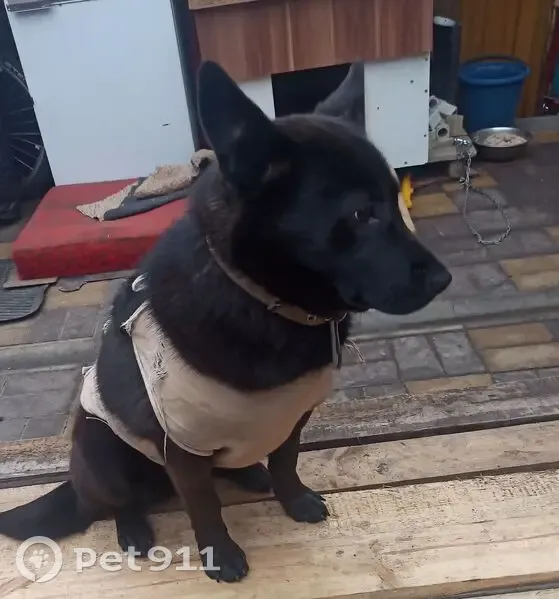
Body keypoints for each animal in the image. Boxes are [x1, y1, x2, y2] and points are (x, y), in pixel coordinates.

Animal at [0, 61, 451, 583]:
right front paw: (220, 552)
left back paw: (249, 472)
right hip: (101, 445)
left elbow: (286, 464)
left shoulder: (291, 419)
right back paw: (132, 528)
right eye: (361, 214)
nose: (445, 279)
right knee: (115, 503)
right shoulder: (181, 448)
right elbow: (204, 507)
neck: (261, 301)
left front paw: (292, 499)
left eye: (395, 200)